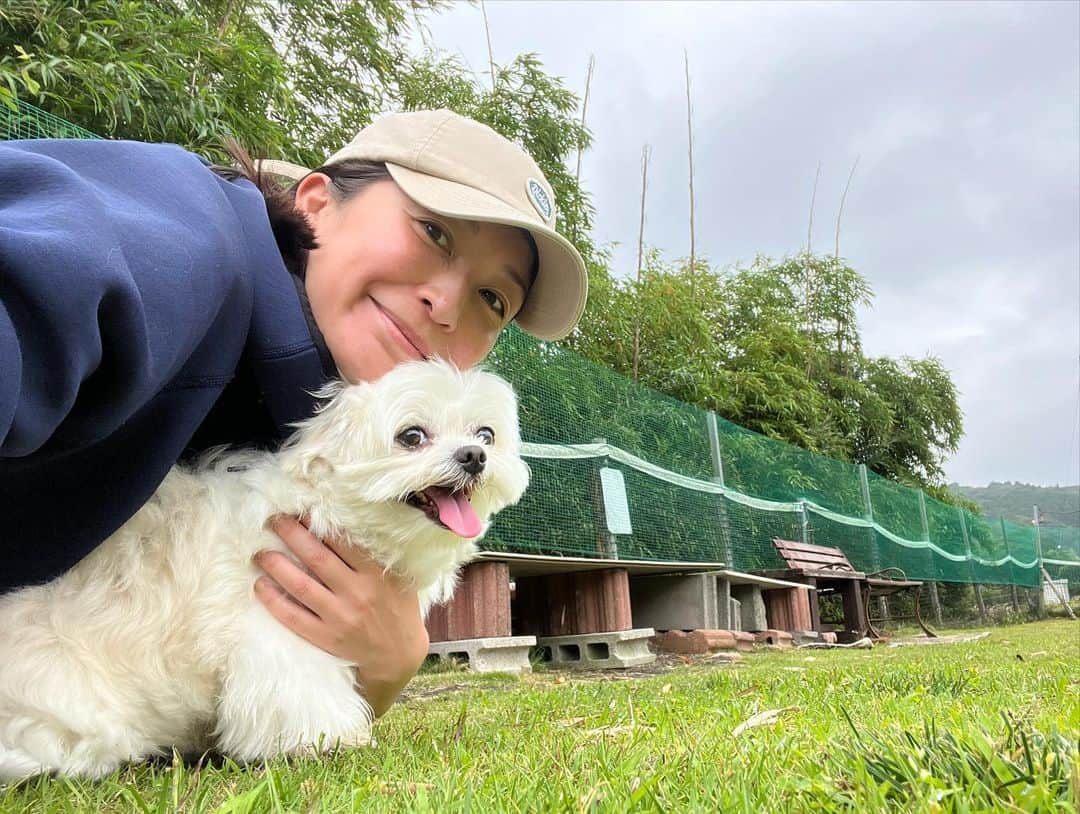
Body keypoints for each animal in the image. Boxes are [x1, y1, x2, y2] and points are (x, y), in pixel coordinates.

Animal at [0, 360, 527, 781]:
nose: (474, 456)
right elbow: (301, 691)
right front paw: (326, 741)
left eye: (485, 434)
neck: (327, 513)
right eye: (412, 436)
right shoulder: (277, 628)